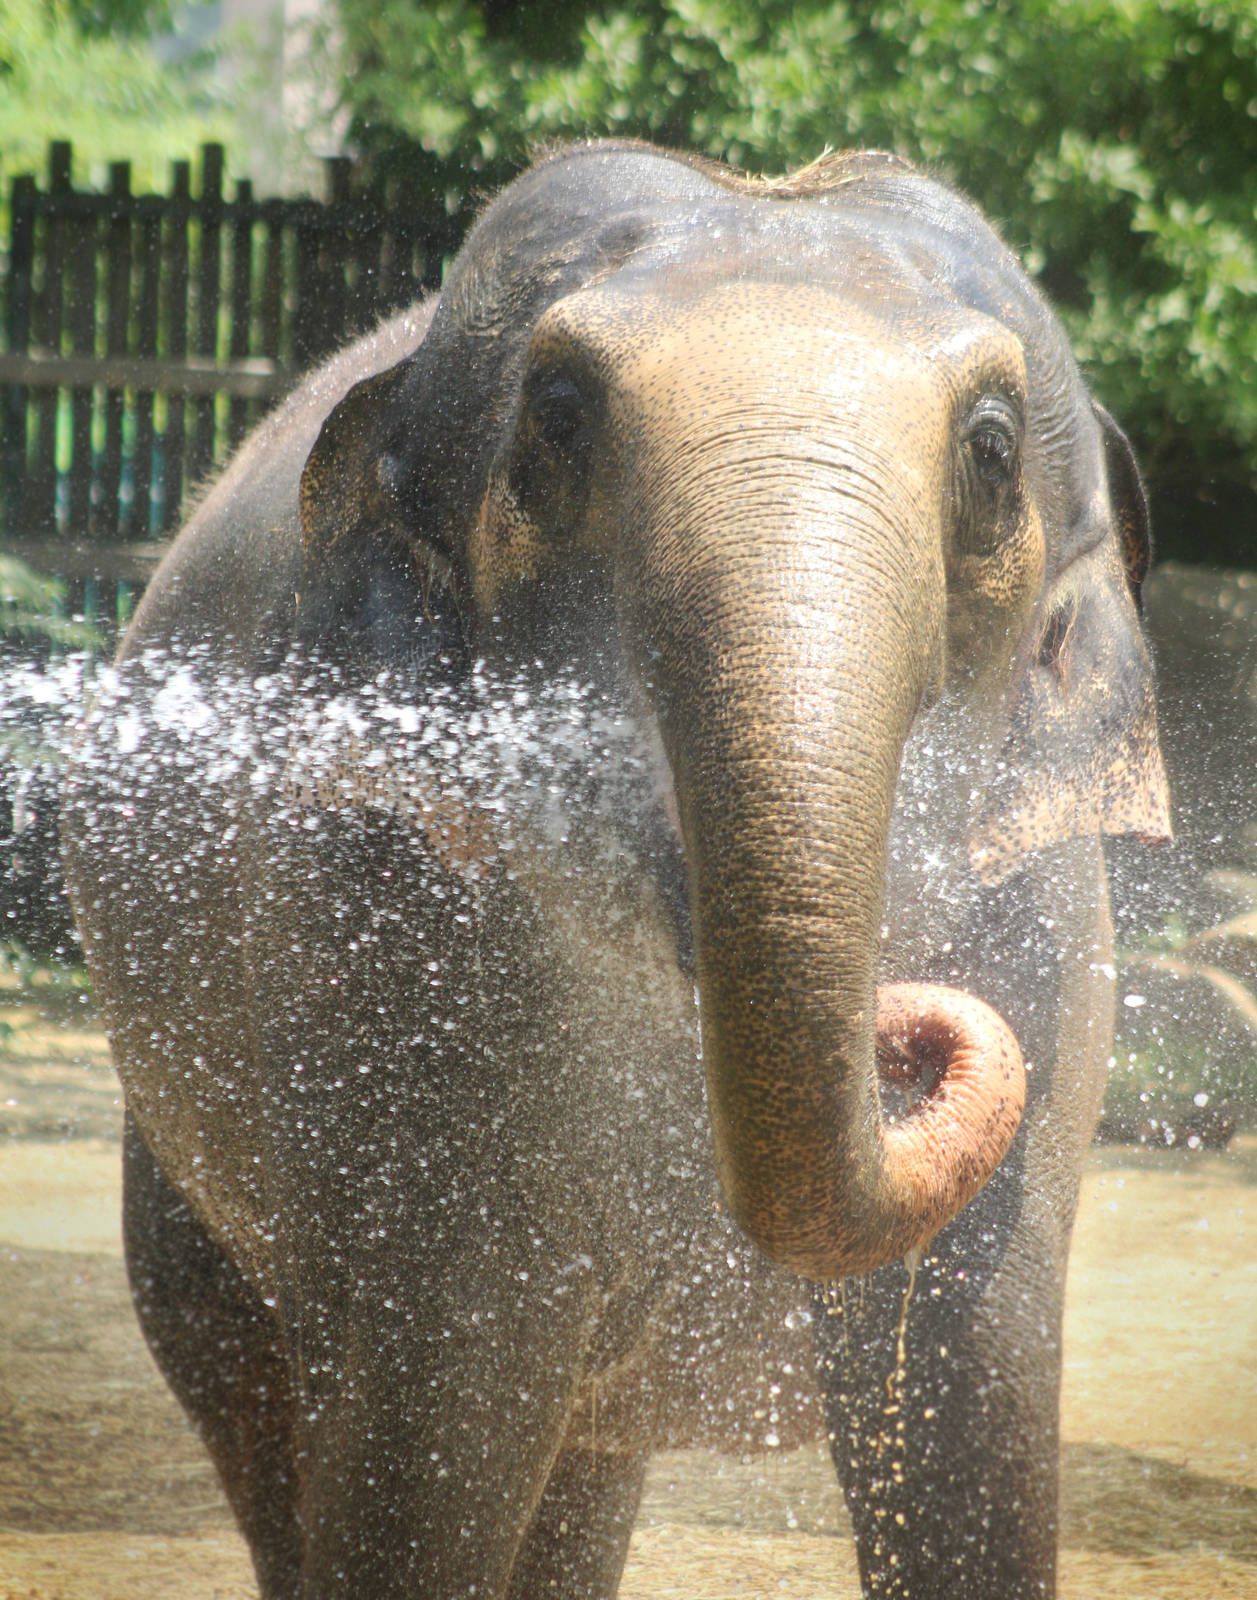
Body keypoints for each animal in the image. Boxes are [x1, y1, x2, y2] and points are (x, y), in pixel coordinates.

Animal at [61, 142, 1171, 1600]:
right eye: (560, 417)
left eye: (991, 450)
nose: (904, 1026)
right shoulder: (379, 951)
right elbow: (427, 1447)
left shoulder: (1043, 941)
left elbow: (968, 1434)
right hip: (175, 1131)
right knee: (244, 1388)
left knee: (584, 1471)